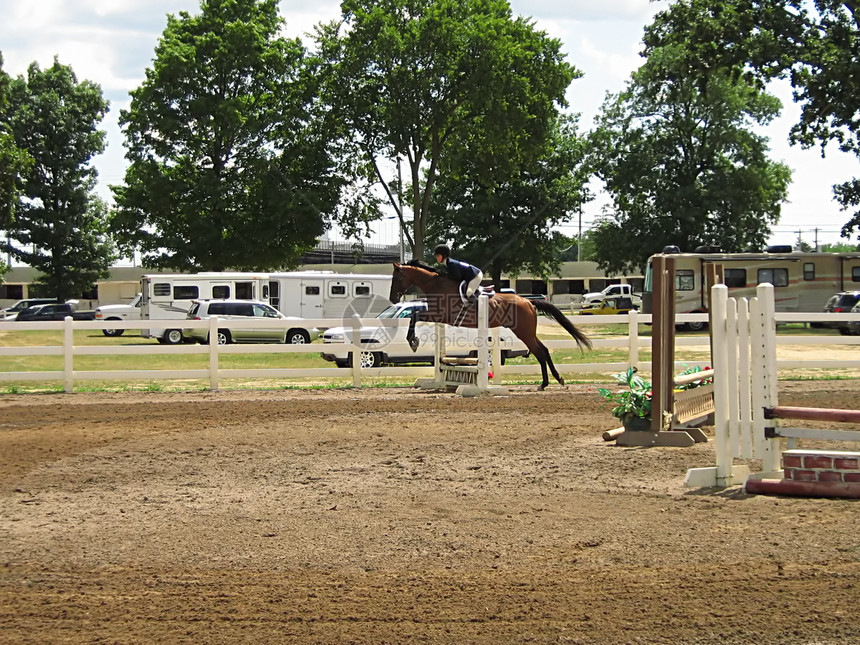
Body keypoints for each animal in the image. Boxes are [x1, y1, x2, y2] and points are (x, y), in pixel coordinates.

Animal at [390, 260, 592, 390]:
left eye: (397, 278)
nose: (393, 299)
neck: (437, 286)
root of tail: (528, 301)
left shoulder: (441, 315)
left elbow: (414, 315)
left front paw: (413, 341)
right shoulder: (438, 317)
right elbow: (414, 316)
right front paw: (413, 341)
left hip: (523, 332)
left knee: (539, 352)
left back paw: (545, 383)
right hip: (527, 332)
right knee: (544, 350)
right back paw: (555, 380)